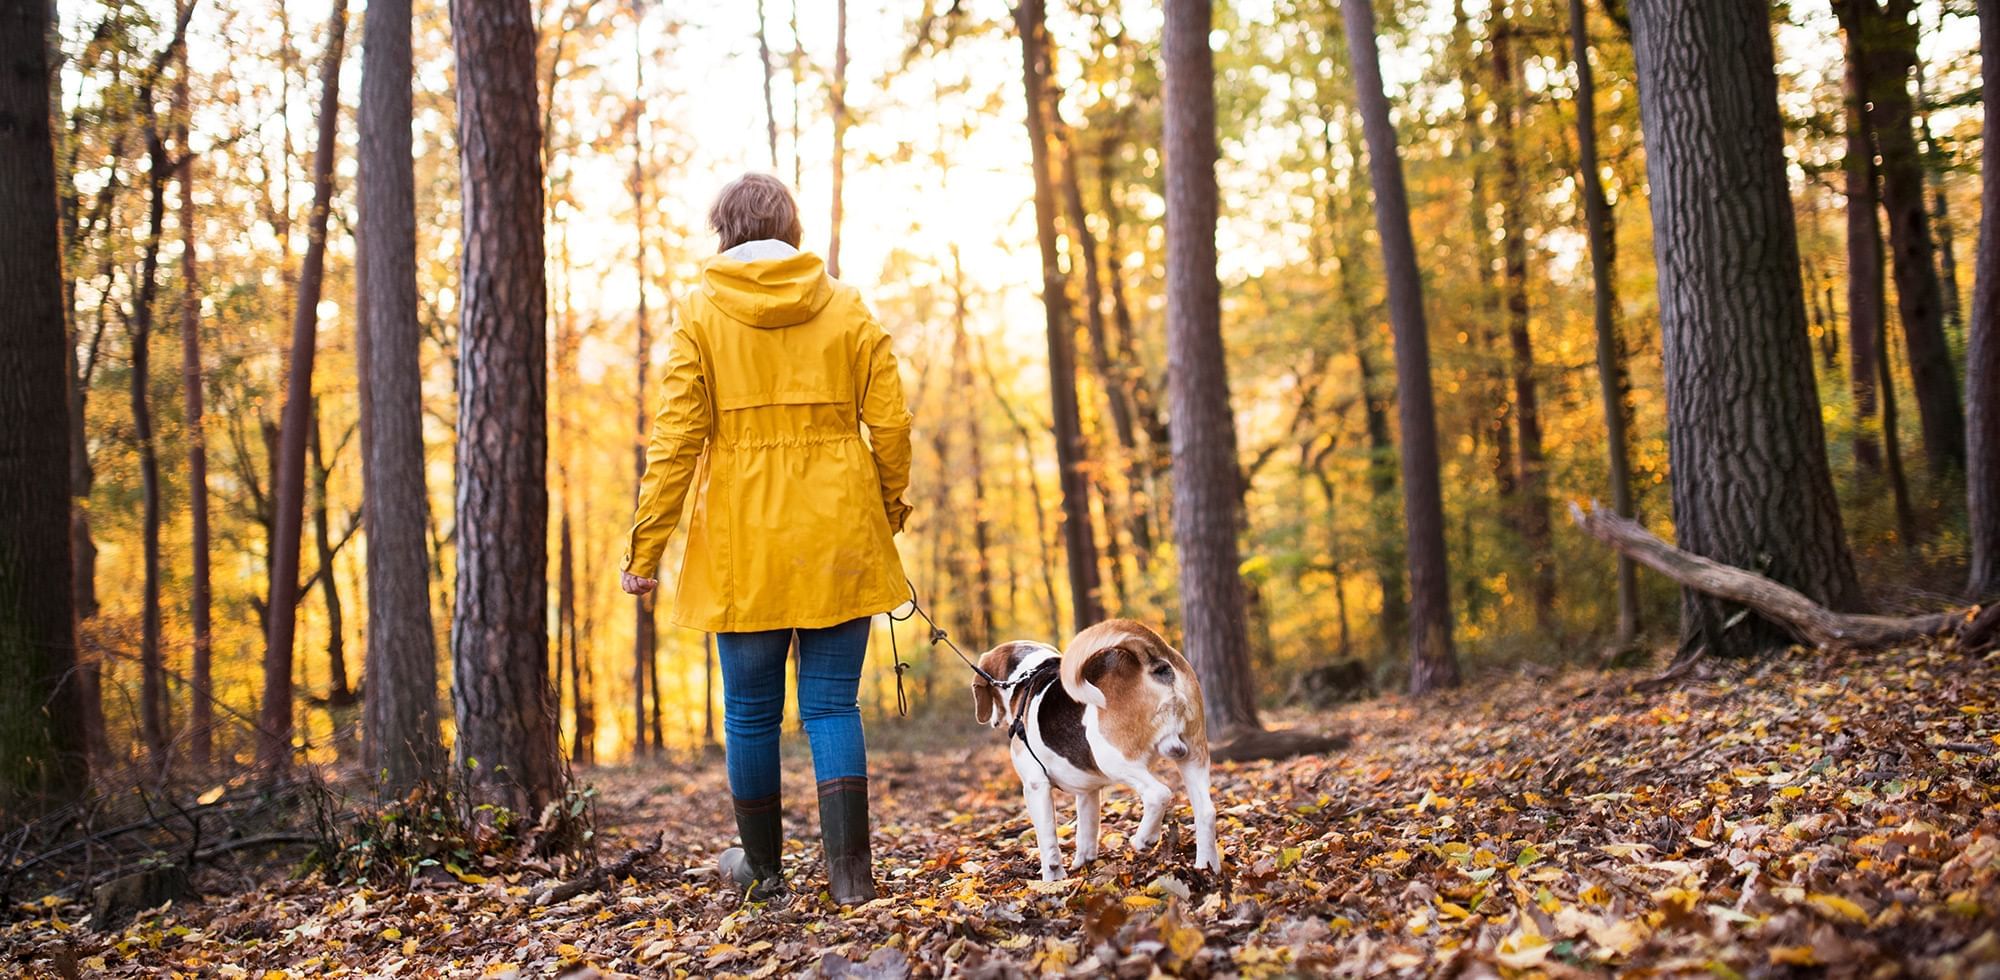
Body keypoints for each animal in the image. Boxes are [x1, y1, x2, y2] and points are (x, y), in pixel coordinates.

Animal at [968, 620, 1216, 880]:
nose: (992, 721)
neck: (1027, 677)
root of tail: (1150, 658)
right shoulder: (1088, 792)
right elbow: (1086, 831)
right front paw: (1083, 864)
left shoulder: (1035, 786)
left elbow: (1048, 843)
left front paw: (1053, 880)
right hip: (1193, 756)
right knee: (1206, 813)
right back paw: (1208, 868)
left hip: (1112, 758)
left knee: (1158, 793)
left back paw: (1144, 839)